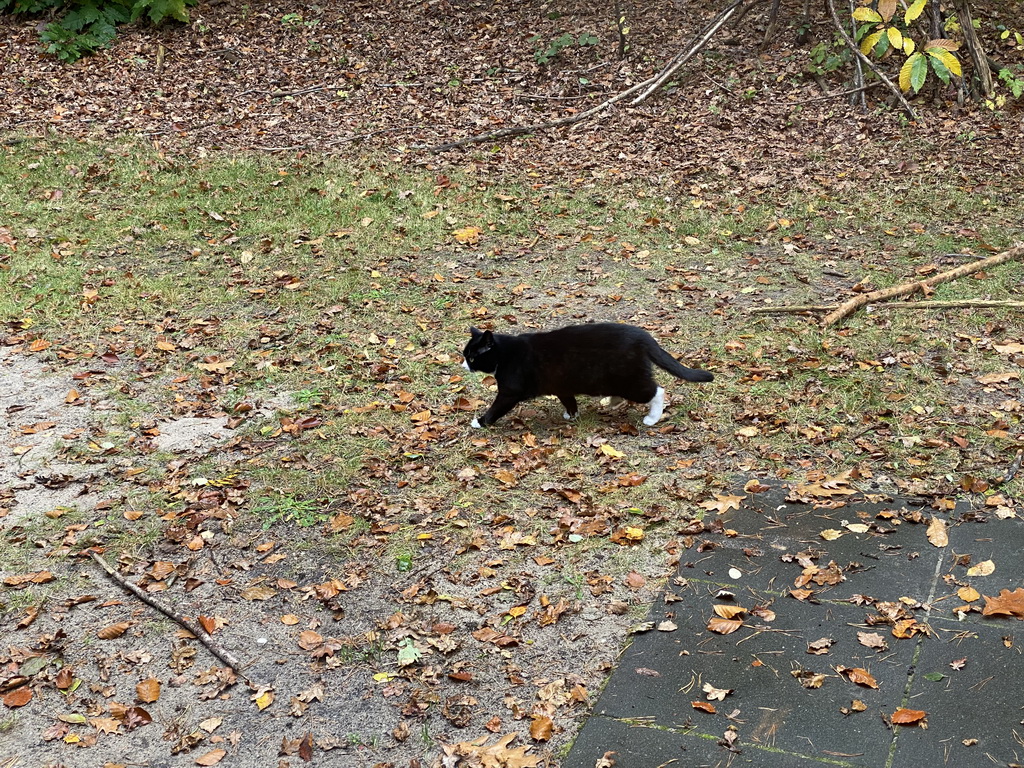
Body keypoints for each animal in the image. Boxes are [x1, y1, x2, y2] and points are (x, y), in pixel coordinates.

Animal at [462, 323, 712, 430]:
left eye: (472, 357)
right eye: (465, 355)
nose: (463, 364)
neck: (504, 354)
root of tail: (644, 337)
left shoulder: (510, 391)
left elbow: (496, 408)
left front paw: (479, 422)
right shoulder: (561, 385)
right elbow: (569, 400)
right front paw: (571, 415)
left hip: (629, 379)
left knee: (656, 391)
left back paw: (652, 417)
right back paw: (612, 401)